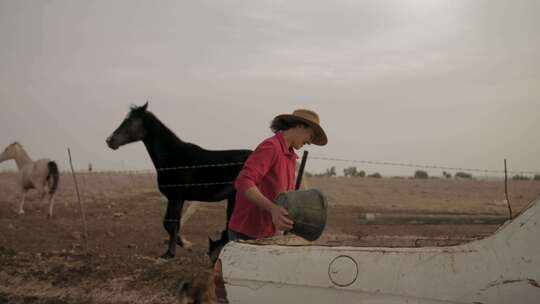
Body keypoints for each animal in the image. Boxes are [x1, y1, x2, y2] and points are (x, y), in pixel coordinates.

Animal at [106, 102, 252, 258]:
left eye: (131, 122)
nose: (110, 141)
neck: (173, 158)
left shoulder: (177, 198)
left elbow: (172, 224)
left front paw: (174, 250)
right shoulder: (172, 198)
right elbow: (168, 223)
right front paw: (179, 245)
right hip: (233, 198)